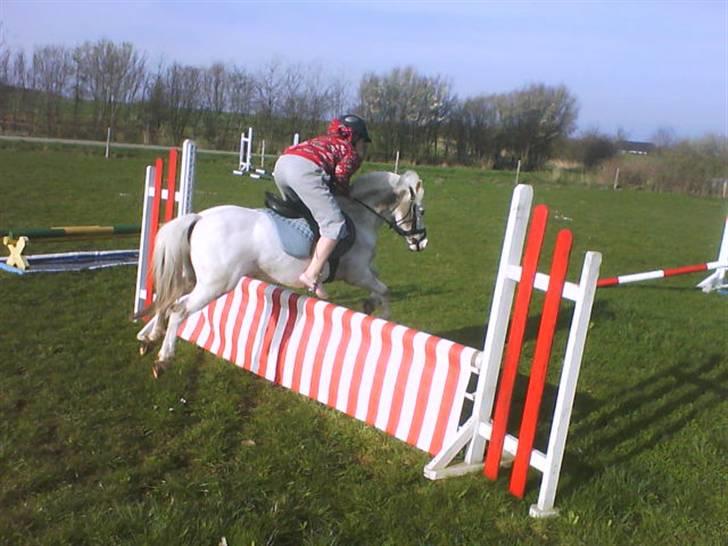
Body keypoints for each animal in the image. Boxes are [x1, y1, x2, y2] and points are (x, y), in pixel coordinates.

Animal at [136, 169, 426, 374]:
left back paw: (149, 336)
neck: (359, 216)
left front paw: (369, 304)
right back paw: (164, 358)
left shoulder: (365, 269)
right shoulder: (356, 273)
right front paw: (383, 315)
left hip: (195, 279)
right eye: (420, 210)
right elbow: (384, 289)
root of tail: (199, 218)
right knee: (179, 309)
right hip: (216, 284)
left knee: (169, 299)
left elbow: (379, 284)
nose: (420, 243)